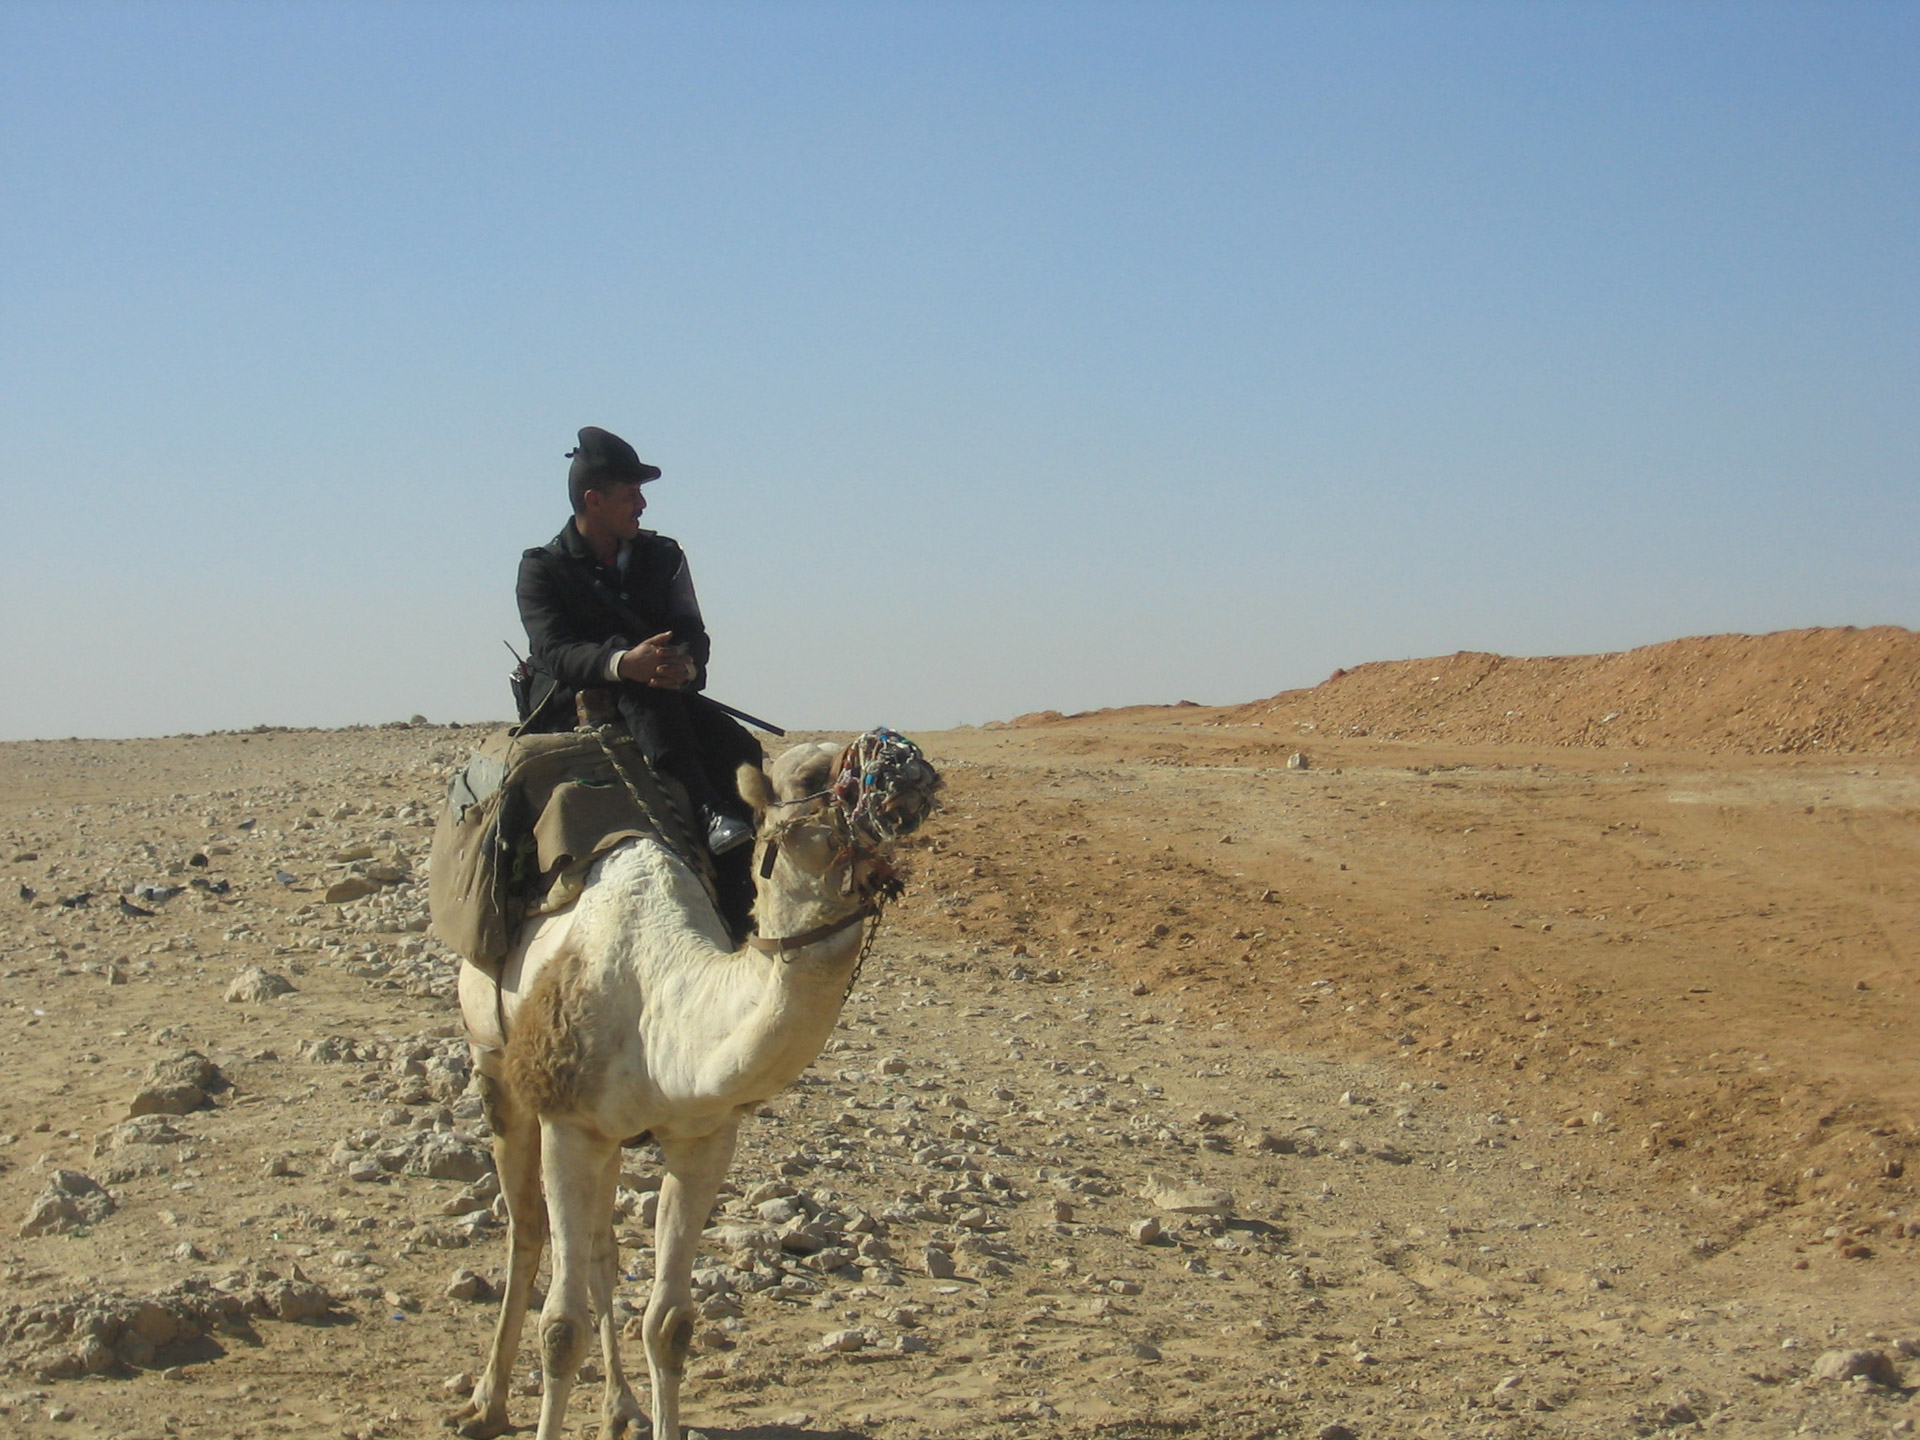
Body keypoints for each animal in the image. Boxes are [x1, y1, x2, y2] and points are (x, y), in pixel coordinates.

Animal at [443, 733, 936, 1440]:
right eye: (811, 776)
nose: (910, 765)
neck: (660, 1011)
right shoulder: (569, 1122)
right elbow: (560, 1329)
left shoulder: (702, 1136)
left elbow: (670, 1324)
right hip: (493, 1059)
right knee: (526, 1228)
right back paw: (487, 1403)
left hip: (610, 1134)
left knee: (599, 1247)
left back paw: (620, 1407)